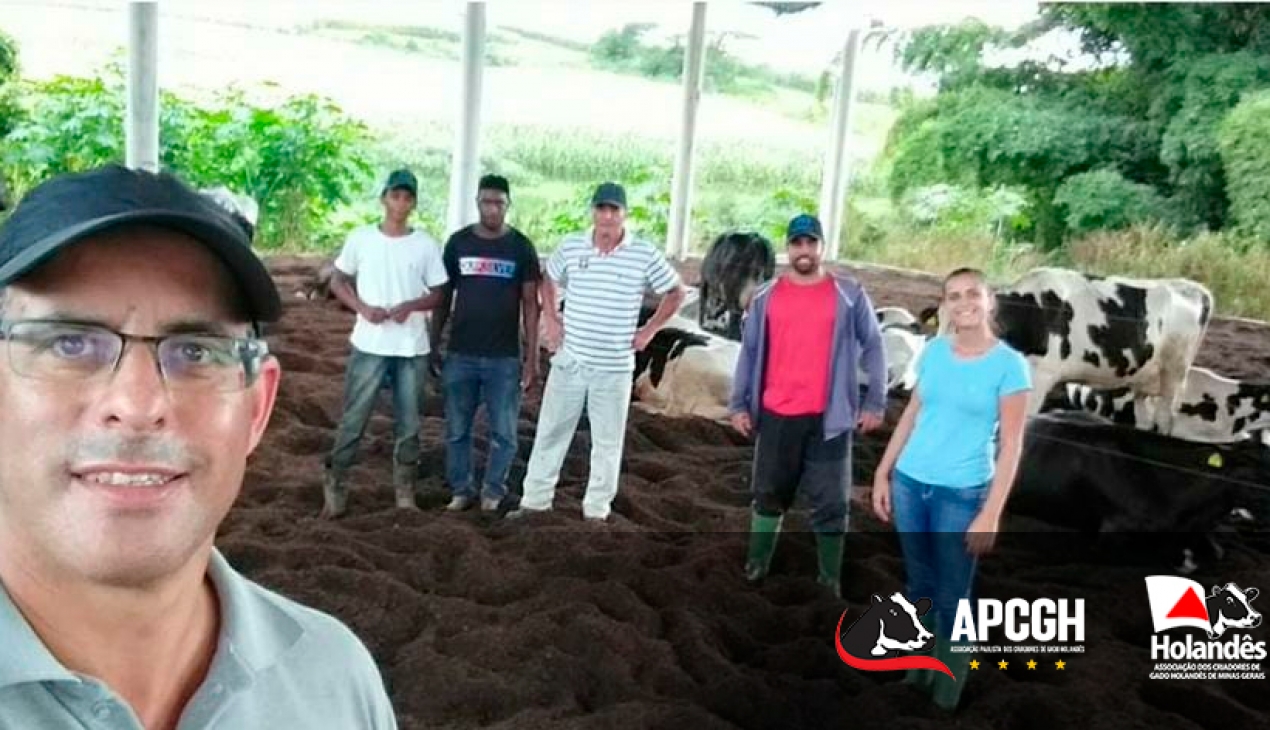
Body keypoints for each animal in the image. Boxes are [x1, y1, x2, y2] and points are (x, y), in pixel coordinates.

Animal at [929, 270, 1214, 436]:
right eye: (939, 321)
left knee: (1165, 420)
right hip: (1145, 379)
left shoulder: (1039, 378)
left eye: (961, 327)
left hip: (1174, 373)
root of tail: (1194, 288)